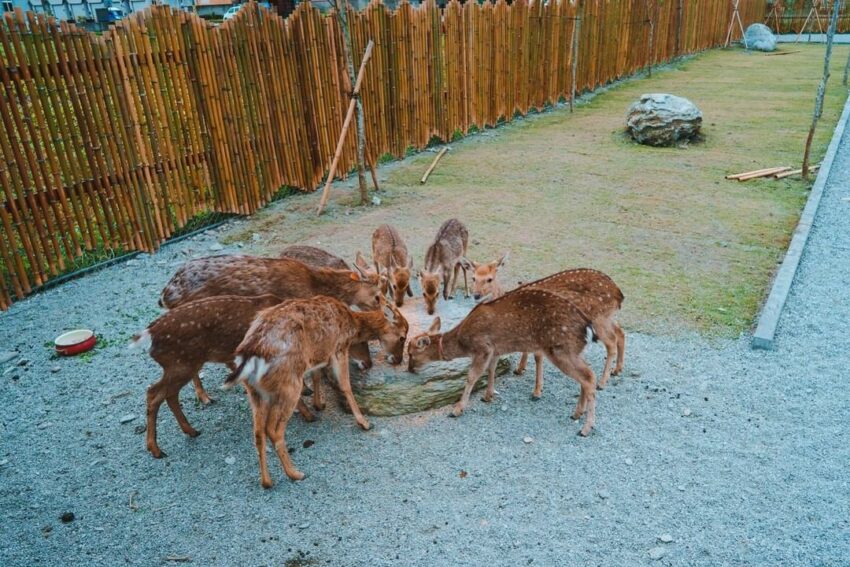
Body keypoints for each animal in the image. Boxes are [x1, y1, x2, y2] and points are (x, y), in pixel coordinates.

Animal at [224, 298, 410, 488]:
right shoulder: (338, 347)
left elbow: (317, 374)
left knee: (258, 433)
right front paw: (365, 423)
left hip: (255, 392)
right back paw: (295, 473)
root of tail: (250, 356)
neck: (351, 322)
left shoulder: (319, 355)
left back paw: (267, 482)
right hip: (288, 385)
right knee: (273, 430)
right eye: (403, 336)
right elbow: (345, 385)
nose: (398, 360)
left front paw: (320, 404)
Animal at [406, 290, 596, 438]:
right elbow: (491, 370)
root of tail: (587, 327)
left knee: (588, 376)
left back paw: (585, 429)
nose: (409, 369)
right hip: (572, 350)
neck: (463, 342)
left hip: (560, 348)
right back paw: (576, 414)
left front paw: (457, 410)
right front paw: (487, 396)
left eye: (410, 354)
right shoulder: (495, 350)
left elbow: (472, 376)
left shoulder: (483, 347)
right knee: (585, 374)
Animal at [458, 258, 624, 394]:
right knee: (620, 332)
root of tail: (619, 293)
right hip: (607, 316)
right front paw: (520, 369)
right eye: (473, 278)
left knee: (611, 342)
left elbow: (537, 356)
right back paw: (617, 370)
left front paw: (537, 390)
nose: (476, 295)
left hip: (598, 317)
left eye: (489, 279)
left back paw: (602, 382)